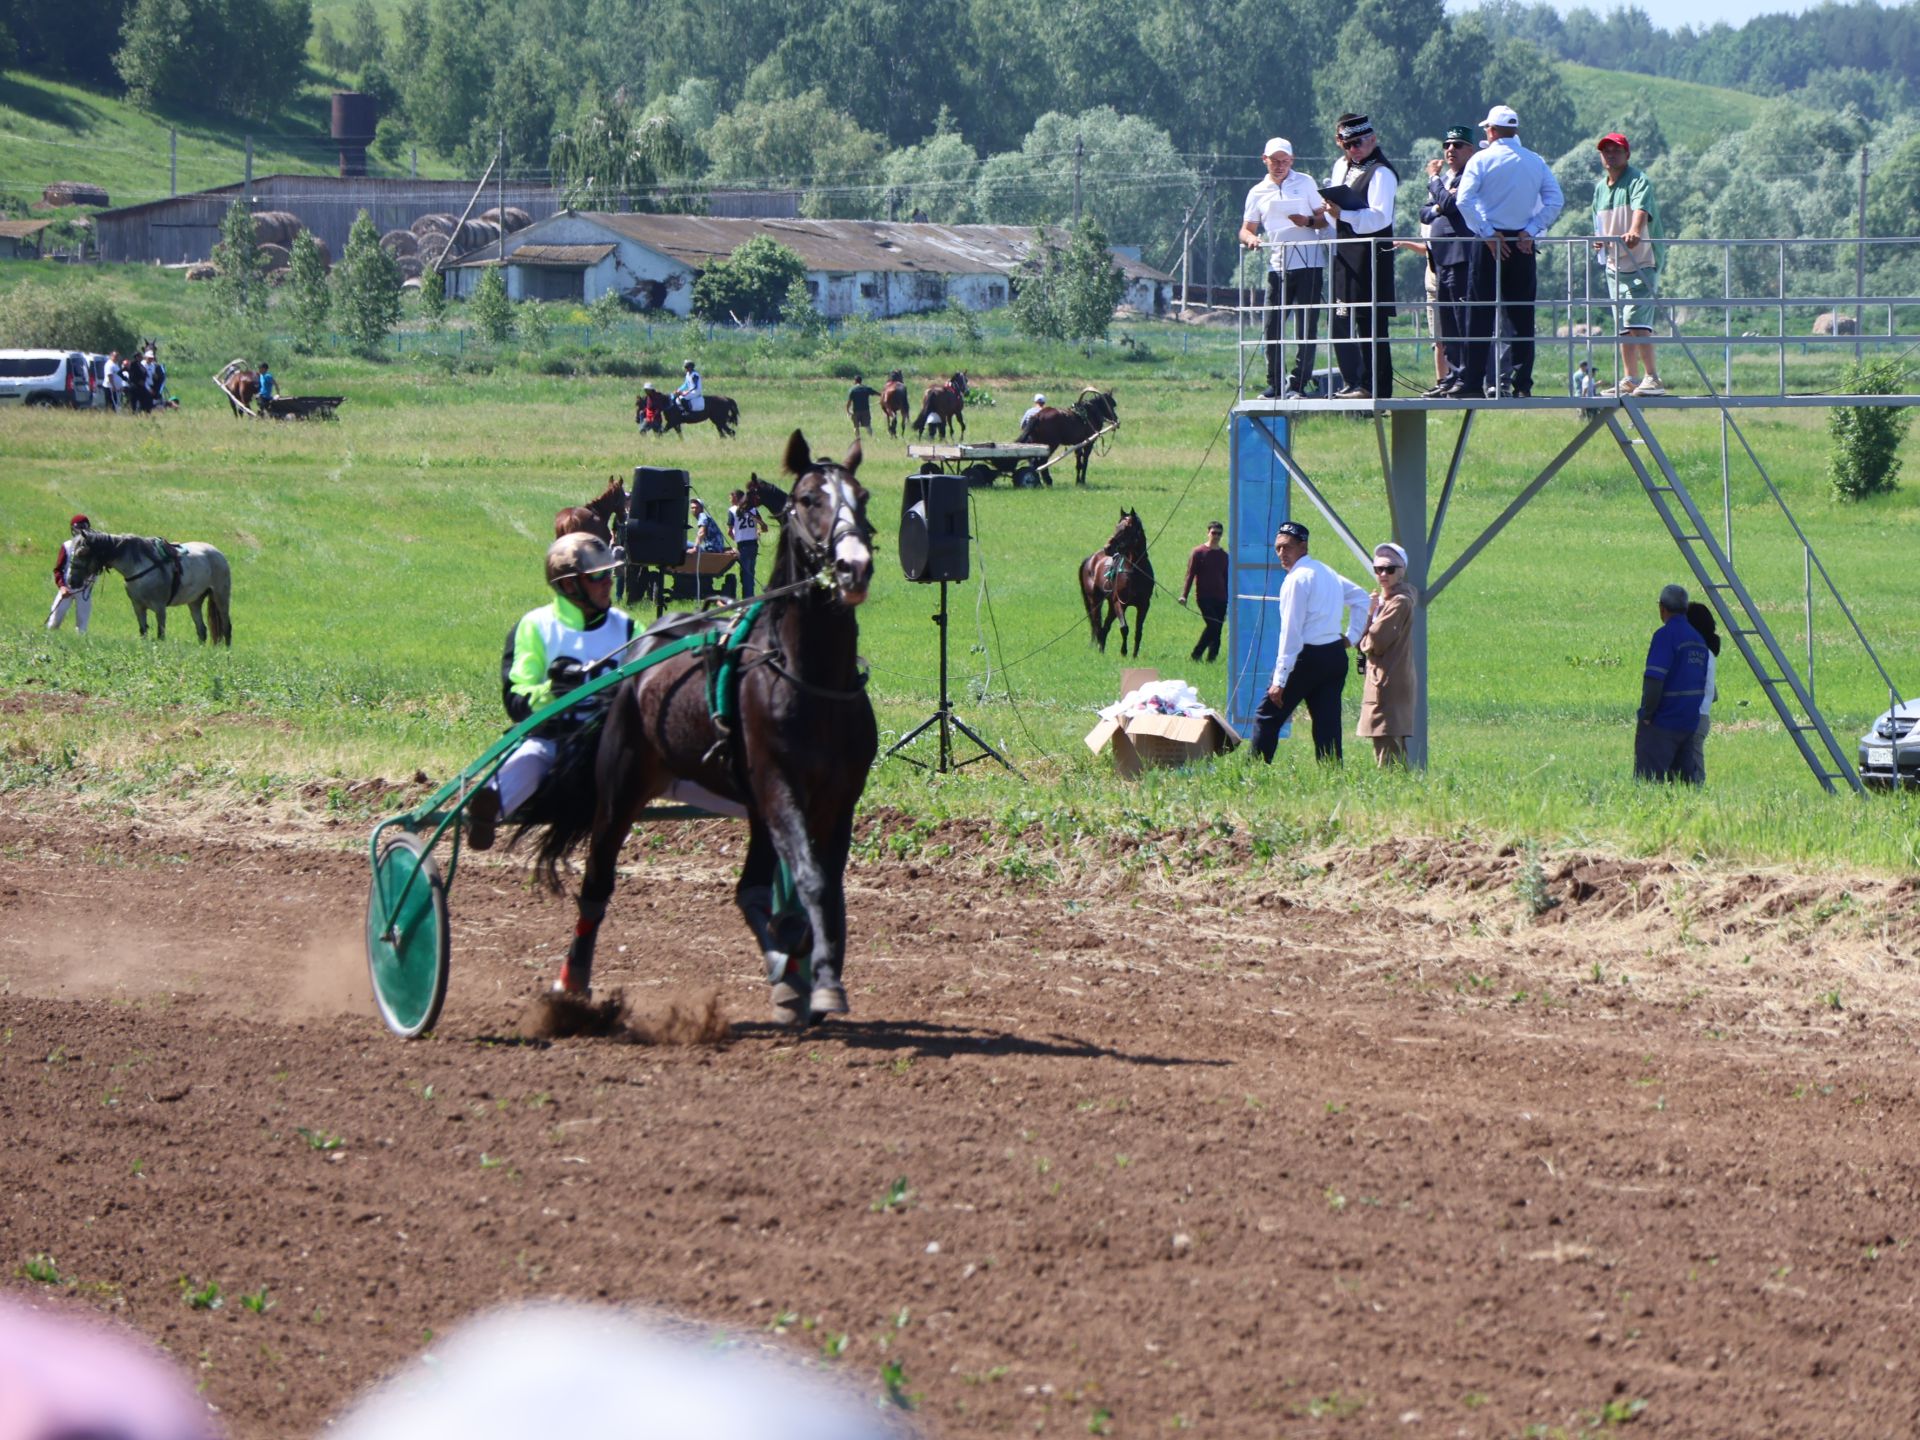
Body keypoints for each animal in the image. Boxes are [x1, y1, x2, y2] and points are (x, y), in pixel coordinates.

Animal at [67, 526, 232, 645]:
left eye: (82, 553)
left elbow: (161, 634)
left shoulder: (160, 607)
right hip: (195, 601)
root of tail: (217, 553)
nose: (72, 581)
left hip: (221, 597)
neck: (140, 566)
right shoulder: (138, 606)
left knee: (226, 627)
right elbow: (143, 631)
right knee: (201, 630)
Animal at [533, 426, 879, 1029]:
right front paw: (813, 976)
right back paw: (572, 982)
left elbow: (825, 890)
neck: (812, 678)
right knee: (597, 880)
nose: (852, 565)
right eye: (809, 499)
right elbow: (811, 882)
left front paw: (814, 974)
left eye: (862, 497)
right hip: (622, 784)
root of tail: (639, 653)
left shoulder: (839, 796)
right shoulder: (779, 784)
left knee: (749, 890)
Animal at [1082, 506, 1152, 660]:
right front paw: (1123, 652)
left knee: (1104, 627)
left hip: (1110, 605)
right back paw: (1100, 649)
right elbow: (1124, 628)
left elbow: (1138, 631)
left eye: (1127, 529)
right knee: (1098, 625)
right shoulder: (1120, 603)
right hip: (1096, 601)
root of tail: (1090, 559)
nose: (1107, 547)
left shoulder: (1143, 605)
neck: (1134, 572)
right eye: (1116, 527)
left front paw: (1134, 655)